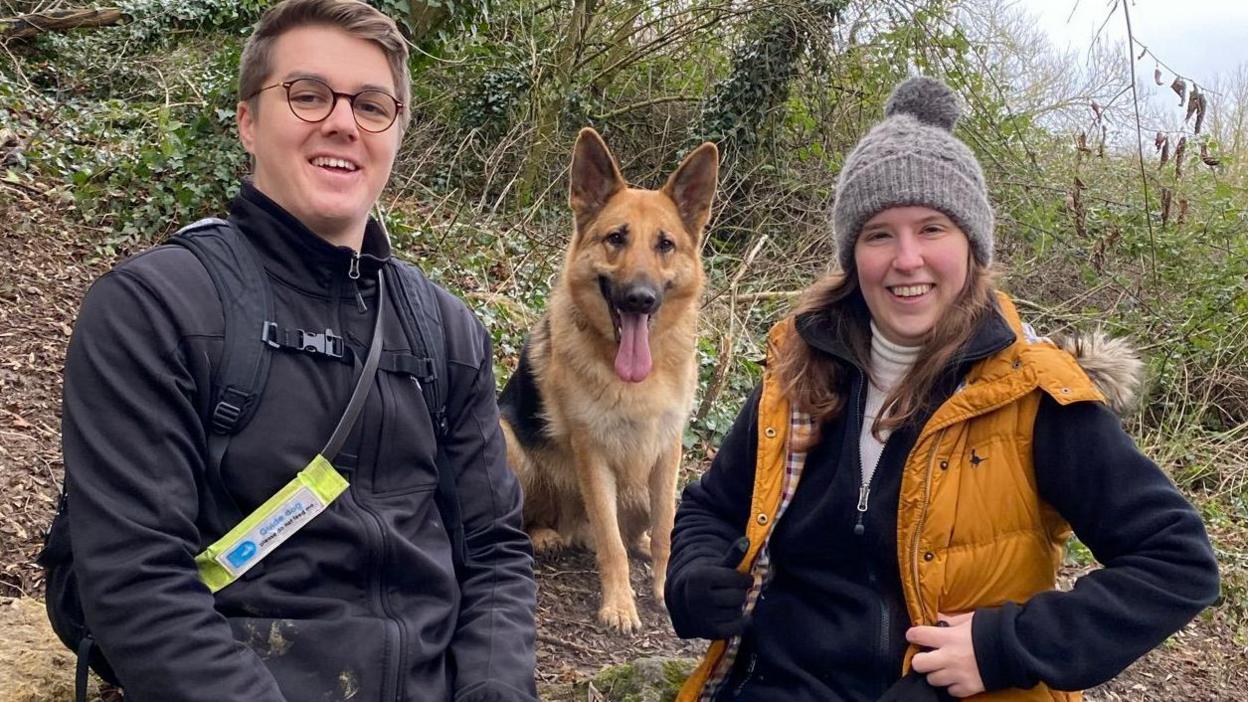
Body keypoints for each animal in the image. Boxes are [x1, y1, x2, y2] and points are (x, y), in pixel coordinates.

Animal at [499, 128, 718, 632]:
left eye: (665, 245)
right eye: (616, 238)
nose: (640, 299)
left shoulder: (668, 448)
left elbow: (664, 528)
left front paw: (661, 585)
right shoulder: (592, 453)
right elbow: (610, 541)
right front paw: (619, 605)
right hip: (507, 440)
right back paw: (545, 536)